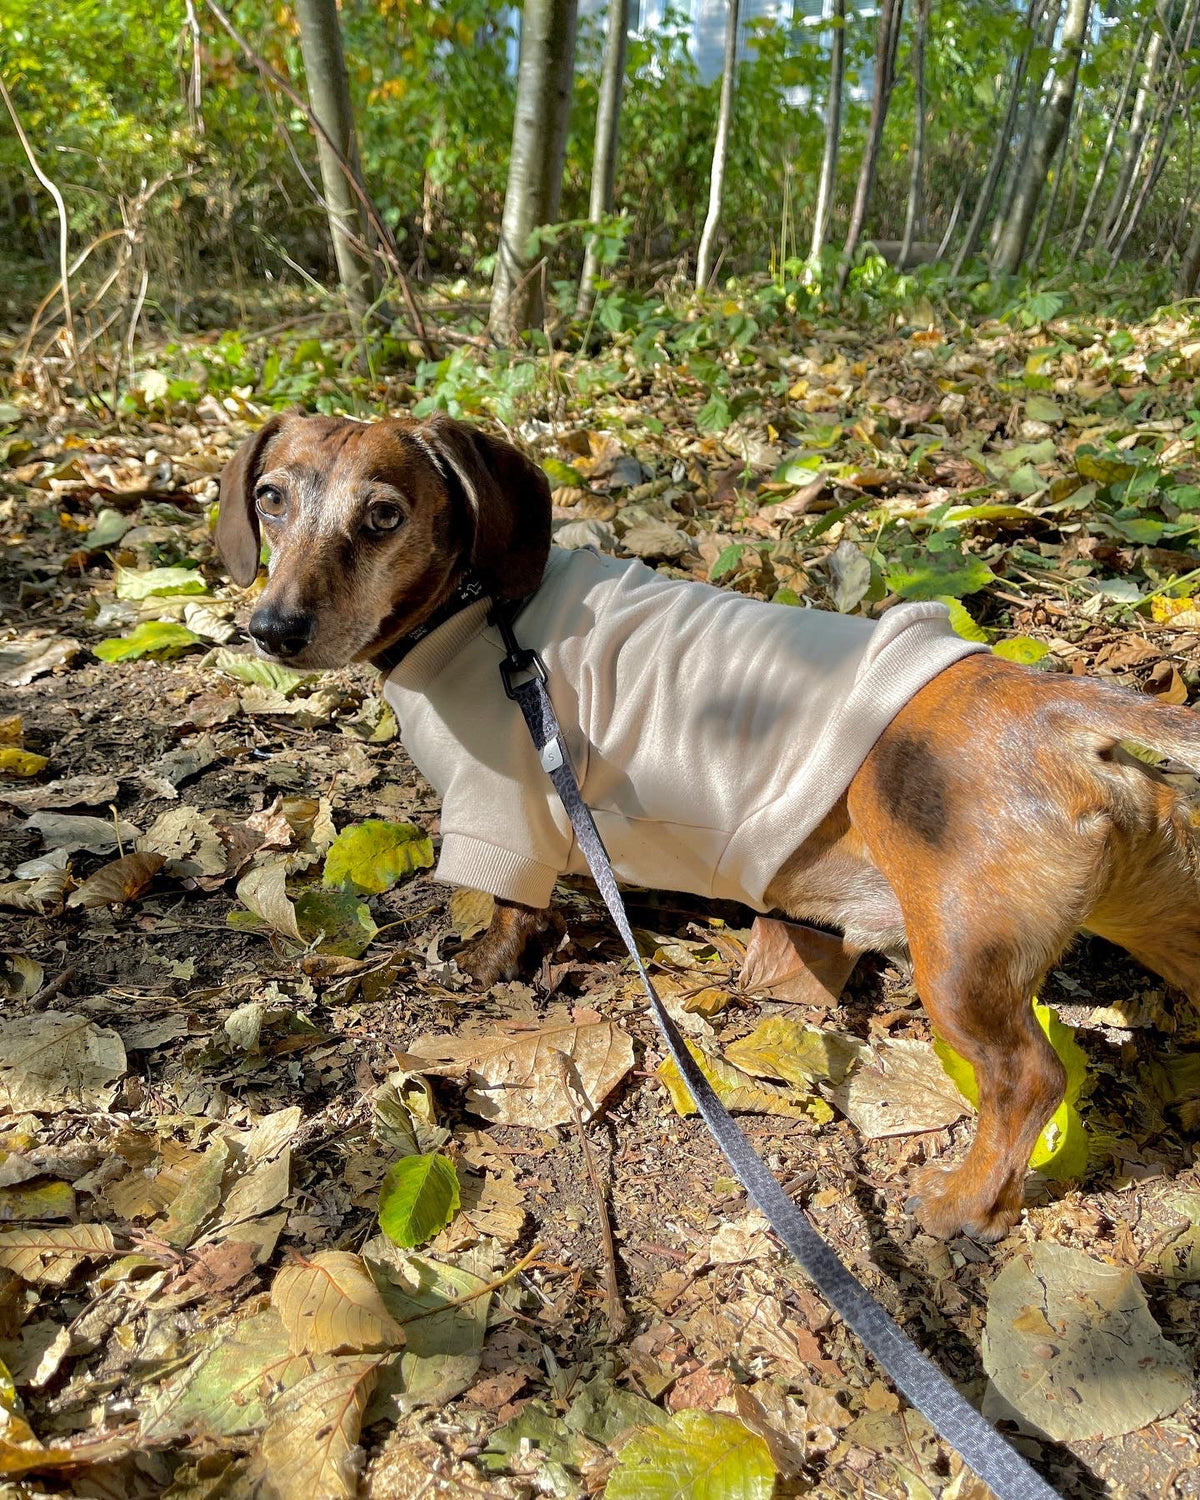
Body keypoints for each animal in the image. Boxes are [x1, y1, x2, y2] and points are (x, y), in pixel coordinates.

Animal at [216, 411, 1200, 1242]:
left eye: (383, 515)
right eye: (271, 497)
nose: (272, 629)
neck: (476, 610)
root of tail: (1059, 708)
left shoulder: (506, 805)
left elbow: (511, 912)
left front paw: (484, 965)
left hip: (958, 960)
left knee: (1028, 1081)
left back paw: (967, 1204)